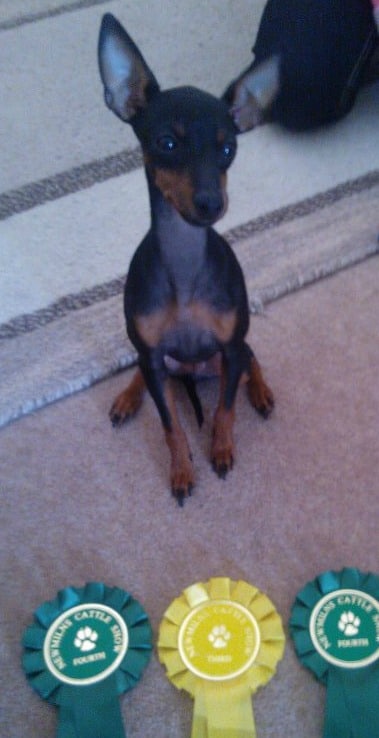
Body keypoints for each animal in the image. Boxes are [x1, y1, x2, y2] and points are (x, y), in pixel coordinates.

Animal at [98, 14, 280, 504]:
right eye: (166, 143)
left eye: (227, 149)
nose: (211, 202)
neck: (184, 261)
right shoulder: (152, 351)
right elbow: (170, 426)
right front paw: (182, 470)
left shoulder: (230, 344)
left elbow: (224, 411)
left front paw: (221, 449)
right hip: (161, 361)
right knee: (144, 371)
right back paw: (128, 397)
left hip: (225, 357)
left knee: (251, 362)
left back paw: (261, 392)